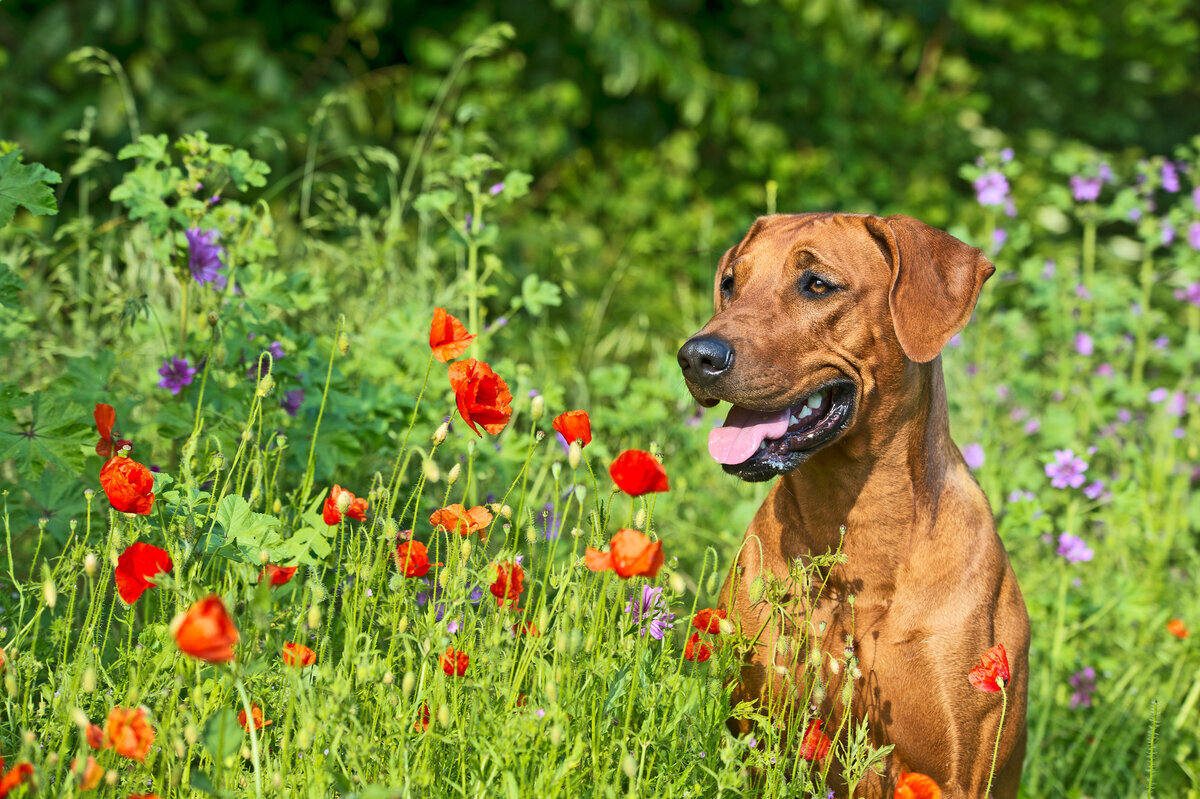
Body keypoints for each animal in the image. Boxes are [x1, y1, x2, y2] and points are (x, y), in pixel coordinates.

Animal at [681, 213, 1027, 796]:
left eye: (817, 284)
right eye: (729, 284)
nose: (696, 357)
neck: (859, 523)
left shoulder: (957, 769)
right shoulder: (761, 737)